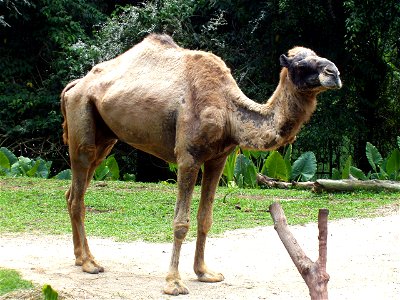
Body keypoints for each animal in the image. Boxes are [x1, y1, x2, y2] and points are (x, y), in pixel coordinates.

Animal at [61, 33, 342, 296]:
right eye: (301, 64)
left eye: (317, 55)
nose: (334, 73)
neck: (229, 112)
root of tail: (75, 86)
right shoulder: (188, 157)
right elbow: (181, 222)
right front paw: (174, 283)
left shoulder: (219, 159)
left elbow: (205, 217)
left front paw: (205, 273)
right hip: (82, 121)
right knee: (78, 191)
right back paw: (90, 263)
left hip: (105, 139)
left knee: (72, 192)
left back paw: (80, 258)